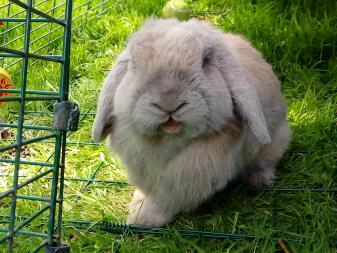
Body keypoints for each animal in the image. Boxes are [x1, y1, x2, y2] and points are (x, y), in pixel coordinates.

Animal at [91, 18, 288, 226]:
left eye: (206, 61)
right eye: (134, 64)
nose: (169, 103)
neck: (166, 143)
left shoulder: (184, 181)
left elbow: (164, 201)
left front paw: (140, 219)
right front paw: (137, 202)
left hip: (275, 142)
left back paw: (259, 179)